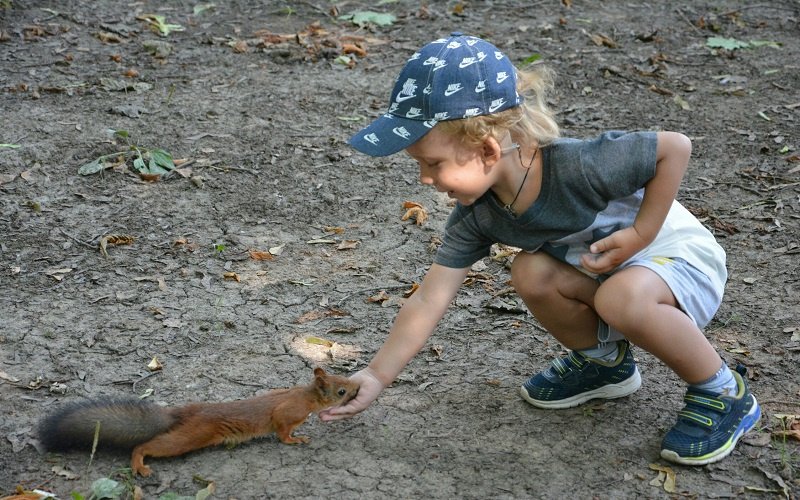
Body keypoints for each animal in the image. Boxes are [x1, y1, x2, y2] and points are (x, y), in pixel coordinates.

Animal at [38, 368, 360, 476]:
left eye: (344, 378)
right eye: (341, 391)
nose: (358, 388)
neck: (305, 395)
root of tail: (185, 413)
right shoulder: (286, 413)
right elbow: (282, 430)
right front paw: (296, 439)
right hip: (191, 437)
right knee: (146, 445)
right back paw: (139, 464)